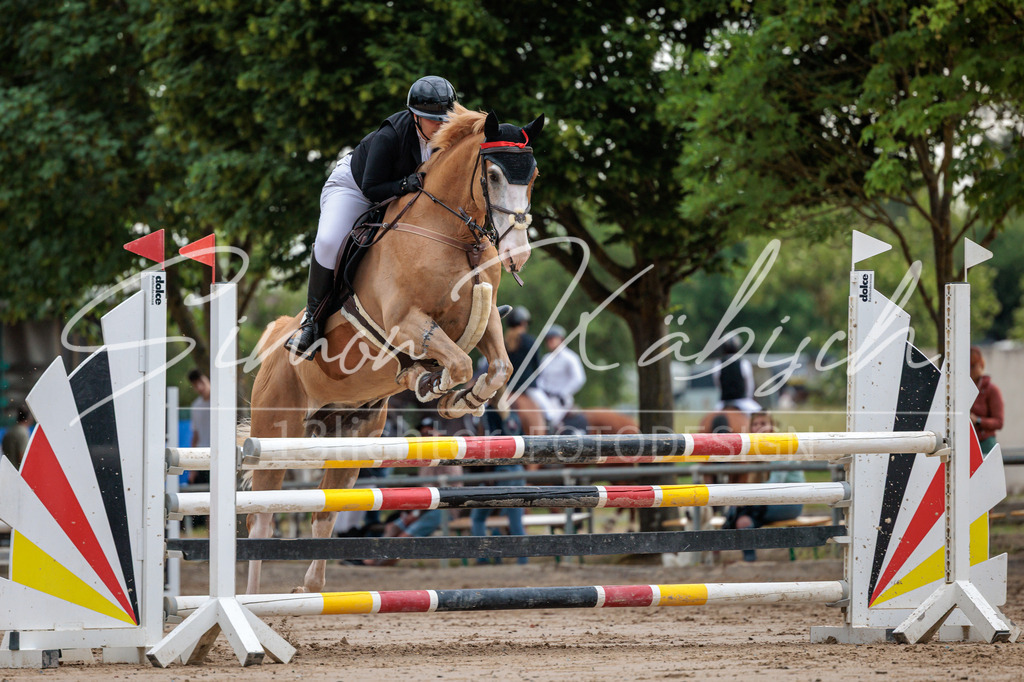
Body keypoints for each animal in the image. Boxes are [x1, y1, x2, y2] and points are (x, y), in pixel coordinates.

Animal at [245, 104, 544, 594]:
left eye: (533, 175)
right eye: (494, 174)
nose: (517, 256)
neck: (451, 235)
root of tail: (274, 343)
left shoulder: (487, 320)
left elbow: (496, 366)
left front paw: (463, 400)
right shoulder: (406, 322)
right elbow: (458, 362)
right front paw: (435, 385)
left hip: (350, 436)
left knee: (325, 513)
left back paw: (309, 588)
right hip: (276, 433)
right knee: (261, 518)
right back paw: (251, 602)